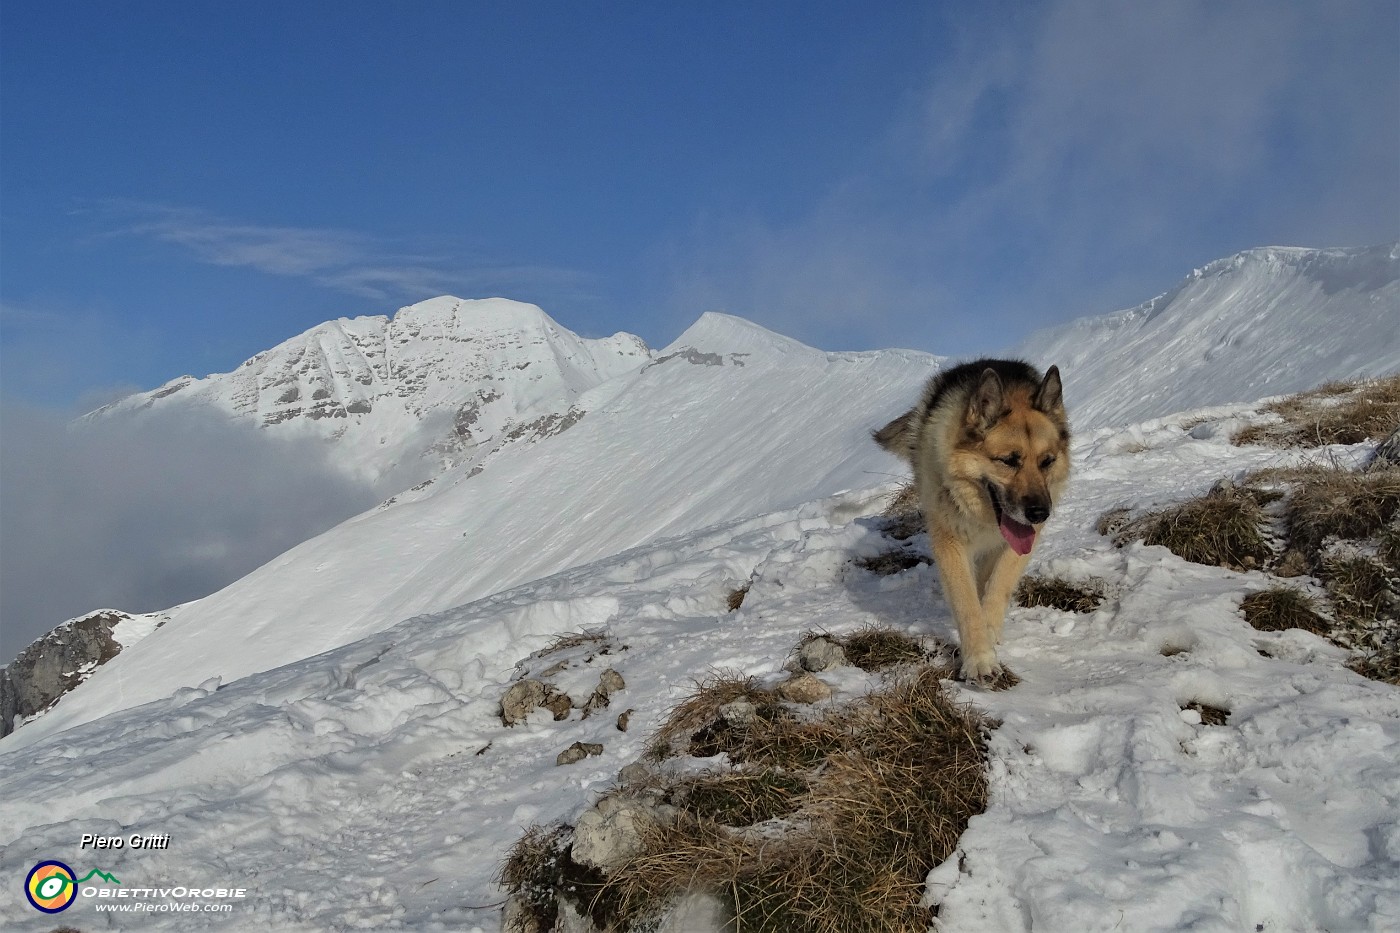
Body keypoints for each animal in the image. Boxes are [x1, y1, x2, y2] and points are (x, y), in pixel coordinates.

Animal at [873, 358, 1069, 680]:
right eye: (1008, 461)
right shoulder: (949, 541)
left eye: (1047, 461)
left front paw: (989, 631)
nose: (1040, 513)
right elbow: (966, 603)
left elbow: (999, 584)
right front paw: (979, 658)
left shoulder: (1018, 543)